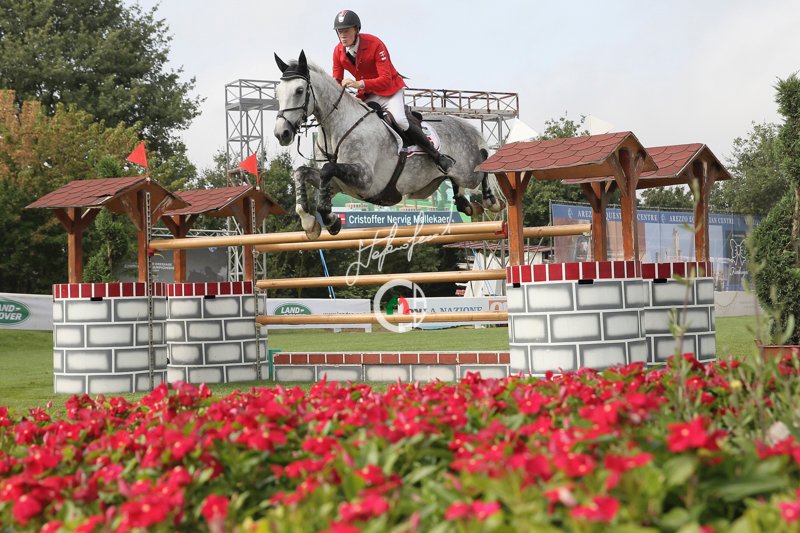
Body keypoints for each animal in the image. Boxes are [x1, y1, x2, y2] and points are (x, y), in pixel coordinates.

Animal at [273, 50, 505, 240]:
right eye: (277, 92)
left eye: (299, 90)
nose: (281, 133)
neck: (336, 128)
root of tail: (463, 125)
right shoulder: (339, 184)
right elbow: (302, 172)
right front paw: (310, 222)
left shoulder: (365, 179)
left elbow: (328, 169)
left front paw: (330, 220)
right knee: (457, 186)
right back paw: (466, 204)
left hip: (467, 171)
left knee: (481, 166)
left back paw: (491, 200)